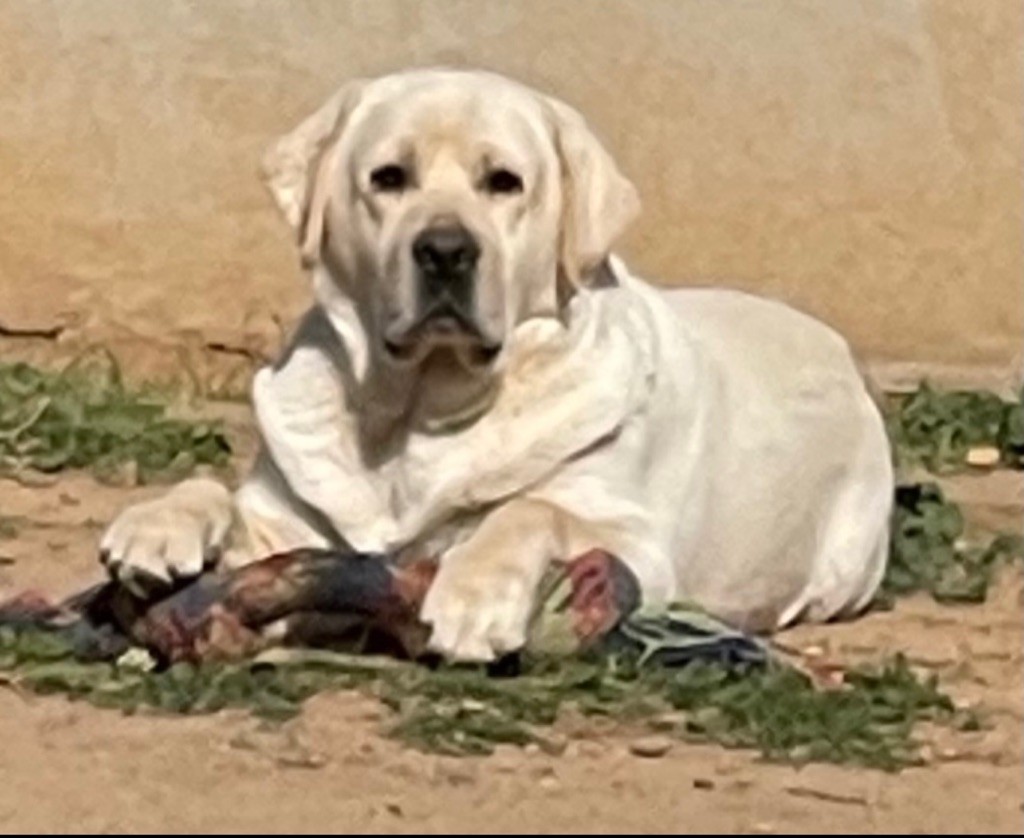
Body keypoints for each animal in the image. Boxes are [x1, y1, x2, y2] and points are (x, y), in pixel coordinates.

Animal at [97, 67, 897, 659]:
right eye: (389, 177)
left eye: (504, 182)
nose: (446, 250)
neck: (418, 410)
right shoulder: (288, 526)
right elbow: (216, 491)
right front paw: (156, 526)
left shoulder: (638, 540)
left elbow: (528, 508)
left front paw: (474, 599)